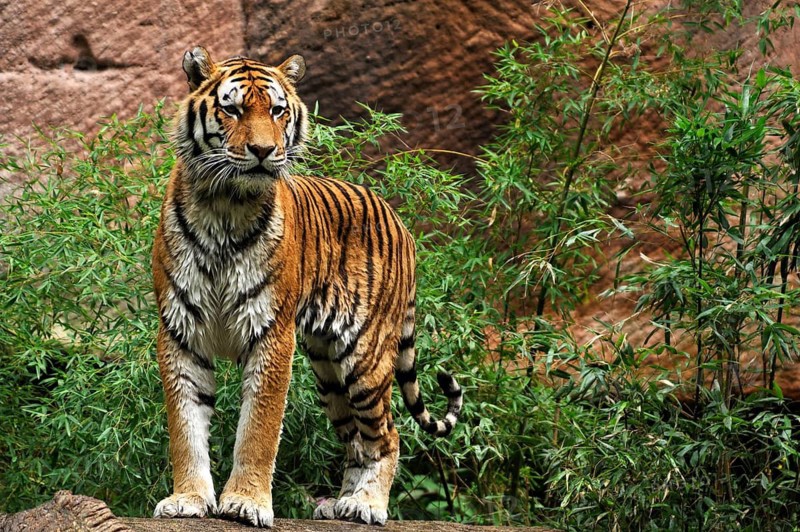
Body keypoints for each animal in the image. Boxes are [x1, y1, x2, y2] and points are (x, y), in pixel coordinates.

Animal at [151, 46, 463, 527]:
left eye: (277, 111)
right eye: (232, 109)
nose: (263, 151)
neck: (225, 205)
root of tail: (400, 221)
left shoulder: (271, 331)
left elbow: (258, 429)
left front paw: (246, 503)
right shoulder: (180, 330)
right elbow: (185, 428)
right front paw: (188, 500)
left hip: (365, 357)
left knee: (387, 434)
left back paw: (368, 505)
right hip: (328, 368)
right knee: (355, 439)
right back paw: (341, 504)